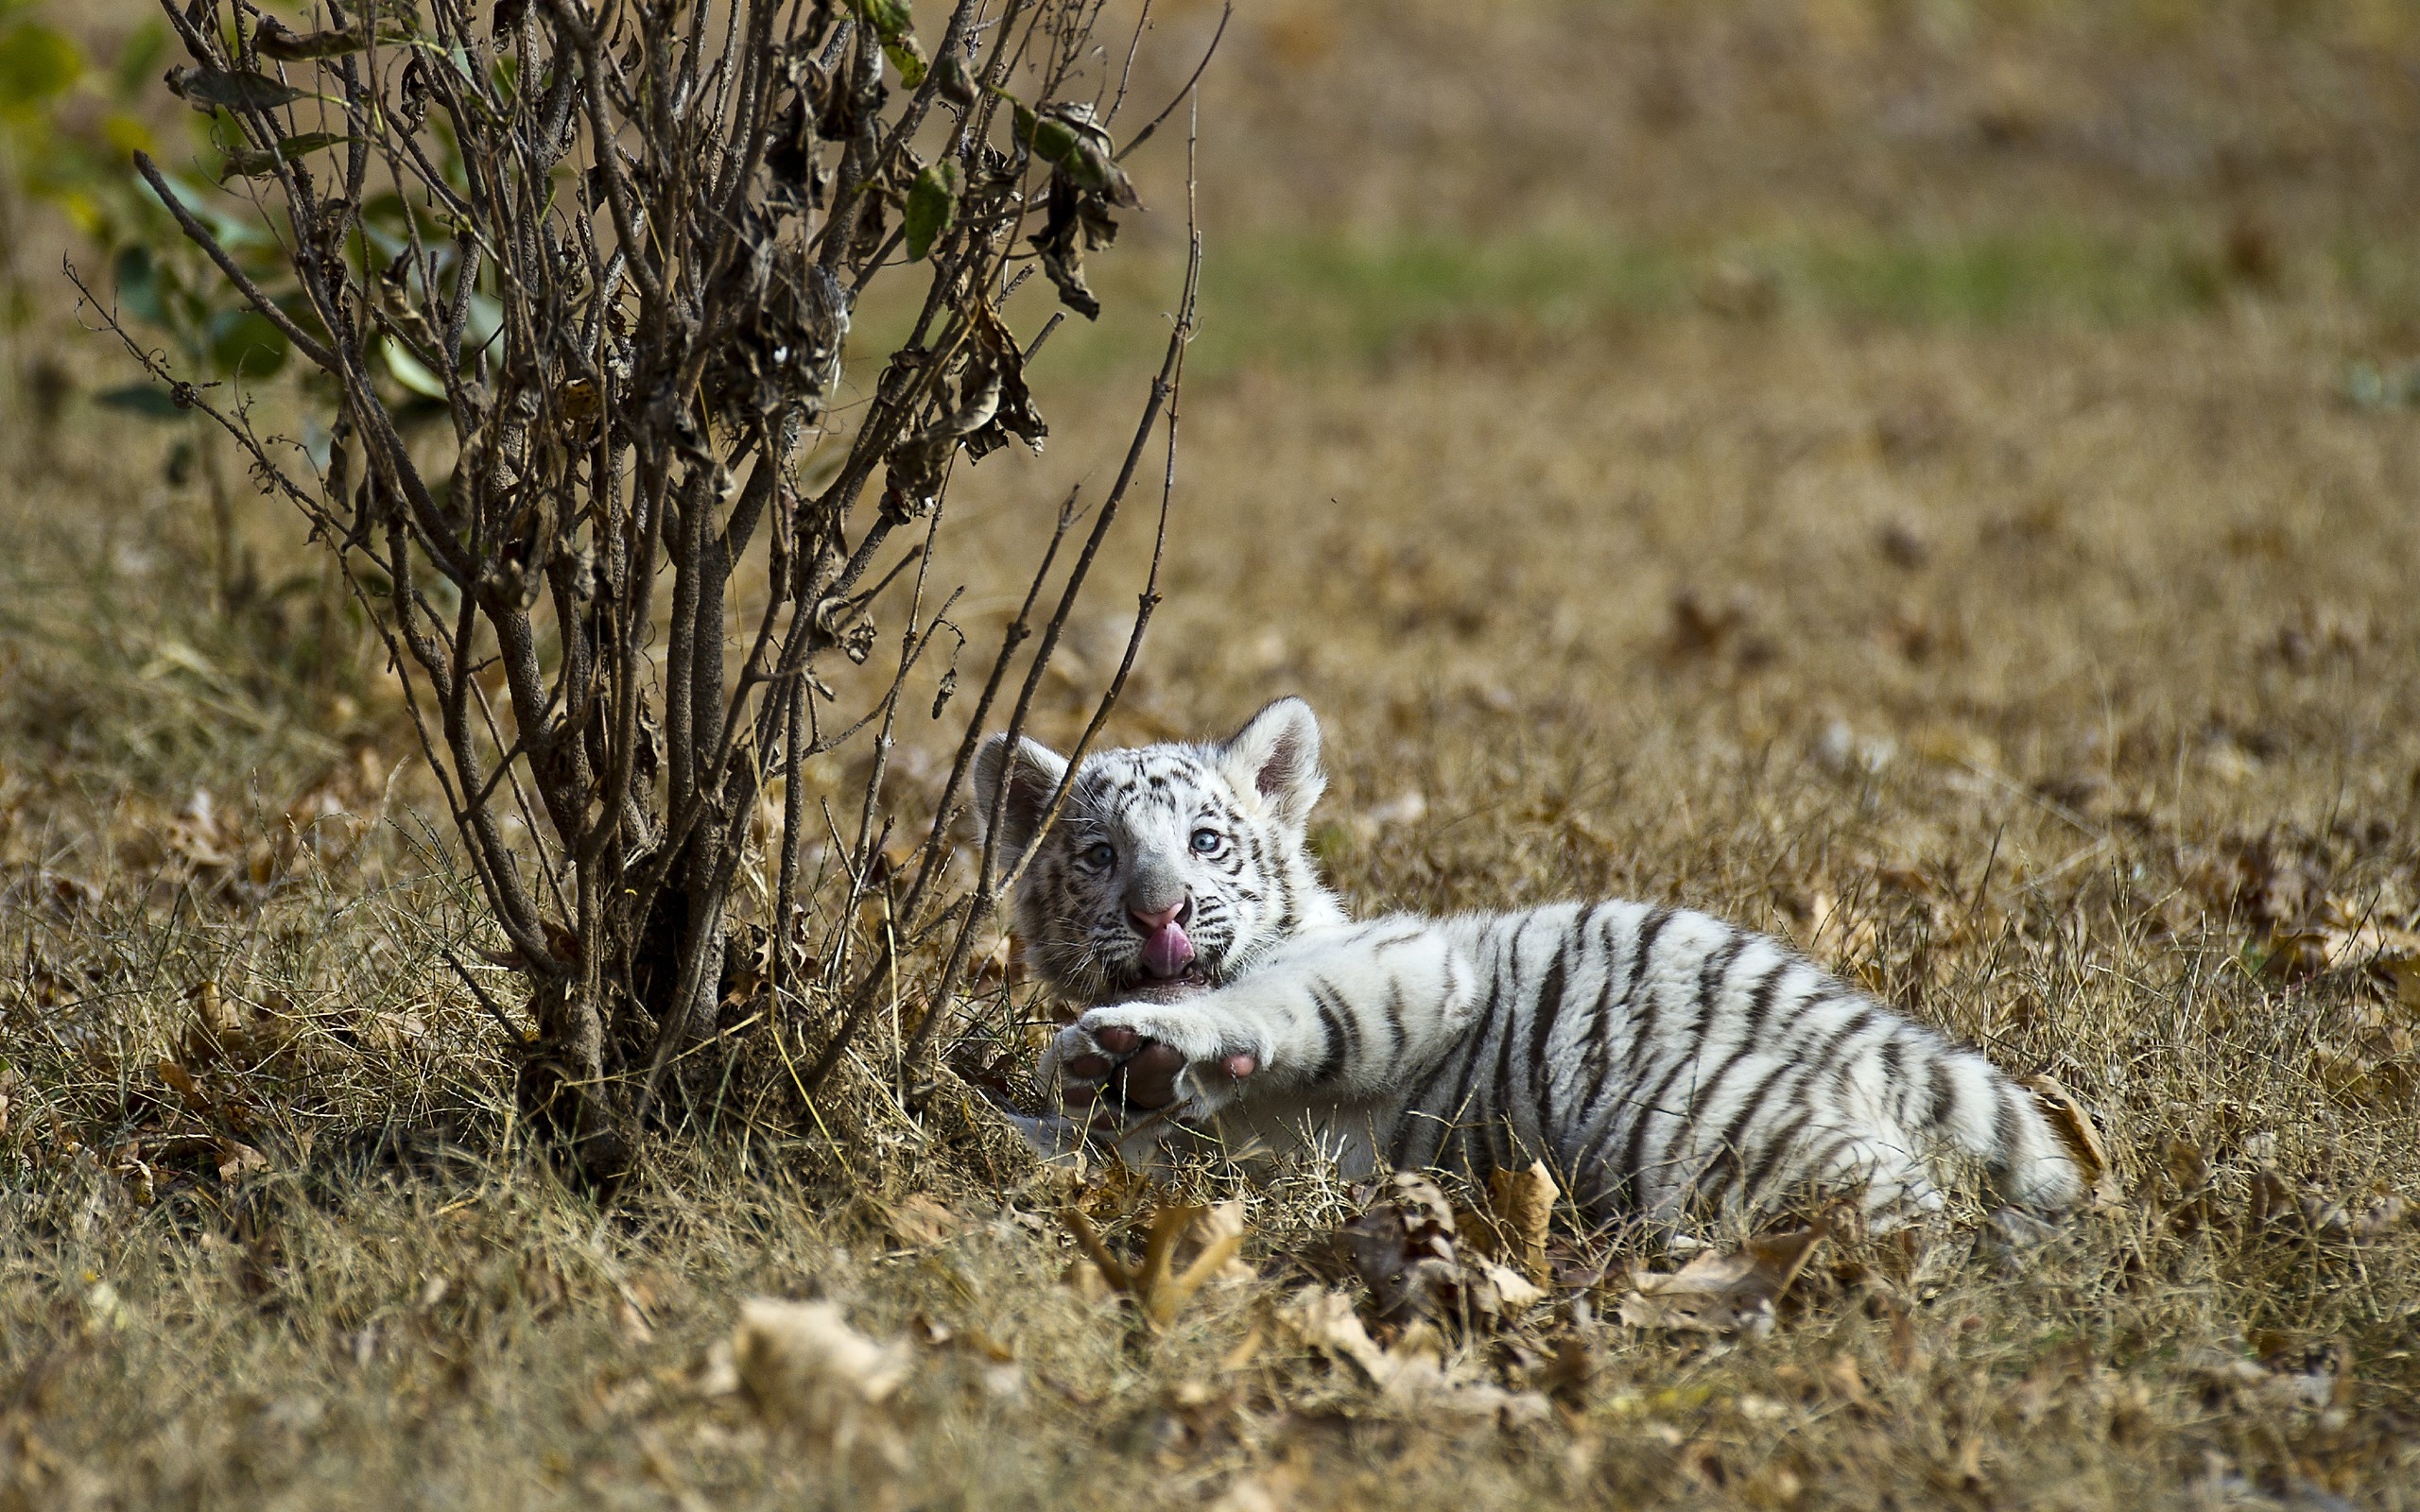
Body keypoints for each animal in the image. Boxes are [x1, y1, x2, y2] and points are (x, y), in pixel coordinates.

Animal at [971, 697, 2085, 1231]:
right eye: (1099, 855)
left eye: (1205, 842)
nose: (1158, 912)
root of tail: (1863, 1028)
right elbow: (1107, 1142)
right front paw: (1055, 1105)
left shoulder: (1406, 964)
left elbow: (1281, 1004)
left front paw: (1132, 1046)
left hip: (1712, 1123)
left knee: (1905, 1214)